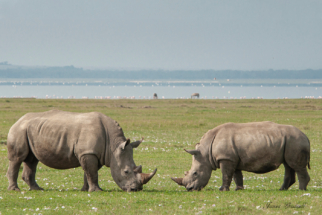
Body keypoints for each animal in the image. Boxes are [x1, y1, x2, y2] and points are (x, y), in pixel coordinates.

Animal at [6, 110, 158, 192]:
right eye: (126, 172)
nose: (136, 189)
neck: (113, 146)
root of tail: (18, 119)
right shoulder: (88, 152)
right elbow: (92, 172)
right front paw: (97, 191)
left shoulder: (94, 153)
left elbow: (89, 172)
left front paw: (85, 190)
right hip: (19, 130)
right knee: (18, 159)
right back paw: (15, 190)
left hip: (30, 130)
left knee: (32, 160)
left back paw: (37, 189)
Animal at [172, 121, 310, 191]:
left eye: (195, 173)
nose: (189, 189)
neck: (205, 152)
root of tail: (306, 136)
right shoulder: (232, 158)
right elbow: (236, 175)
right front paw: (239, 189)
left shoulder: (225, 158)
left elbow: (226, 174)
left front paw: (222, 190)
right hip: (290, 141)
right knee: (288, 164)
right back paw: (282, 189)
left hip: (296, 141)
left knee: (296, 166)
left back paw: (301, 190)